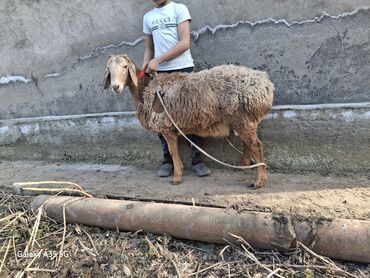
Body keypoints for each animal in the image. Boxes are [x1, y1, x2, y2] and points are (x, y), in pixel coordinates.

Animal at [102, 53, 274, 189]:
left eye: (125, 66)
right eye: (108, 69)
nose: (116, 87)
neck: (145, 91)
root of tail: (266, 84)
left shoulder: (166, 126)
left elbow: (173, 151)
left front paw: (177, 178)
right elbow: (173, 151)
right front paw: (179, 171)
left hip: (241, 117)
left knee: (257, 146)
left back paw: (259, 181)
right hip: (245, 119)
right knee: (249, 144)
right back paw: (244, 165)